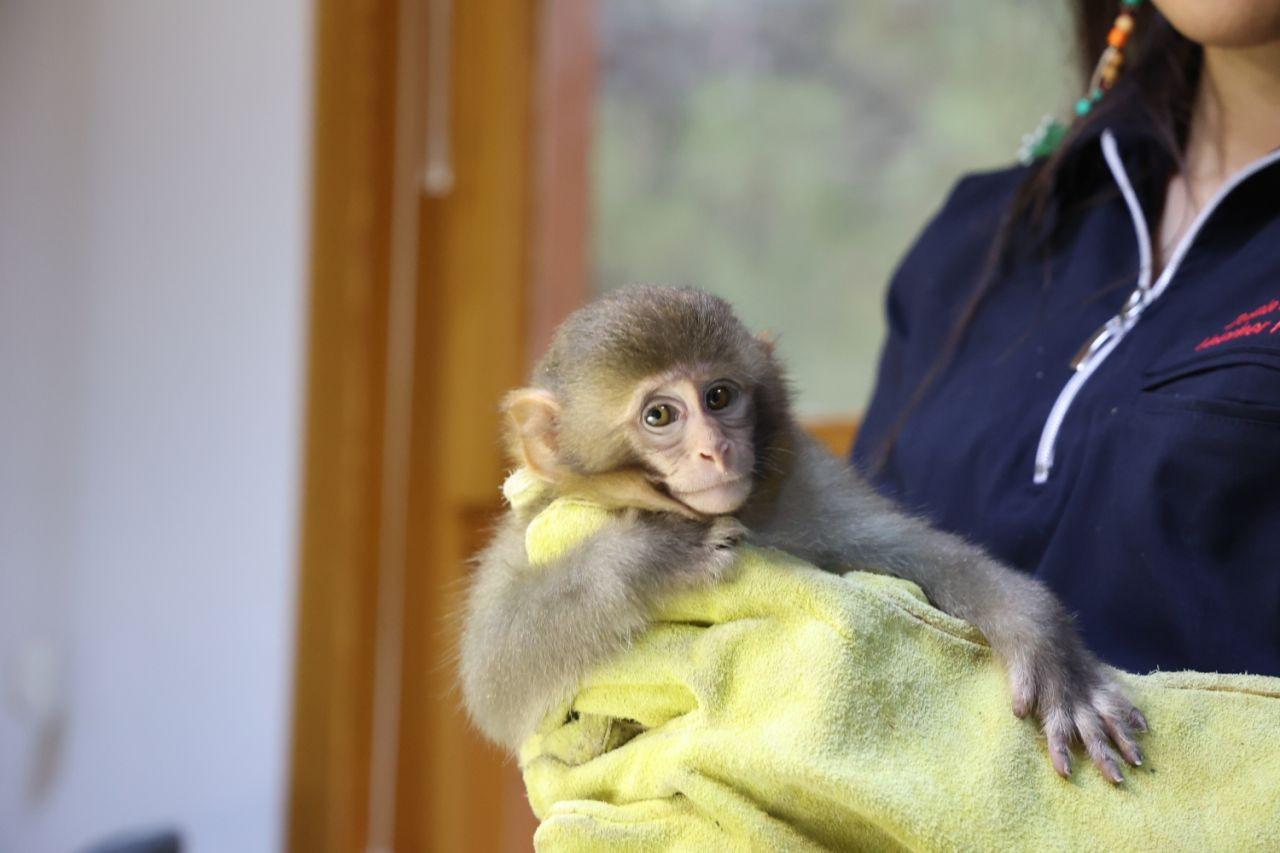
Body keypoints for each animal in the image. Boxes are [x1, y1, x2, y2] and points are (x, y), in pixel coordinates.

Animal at [463, 289, 1152, 778]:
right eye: (660, 414)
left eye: (719, 397)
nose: (715, 449)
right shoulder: (531, 522)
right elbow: (494, 674)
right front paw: (654, 553)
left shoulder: (808, 490)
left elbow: (919, 555)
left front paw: (1043, 641)